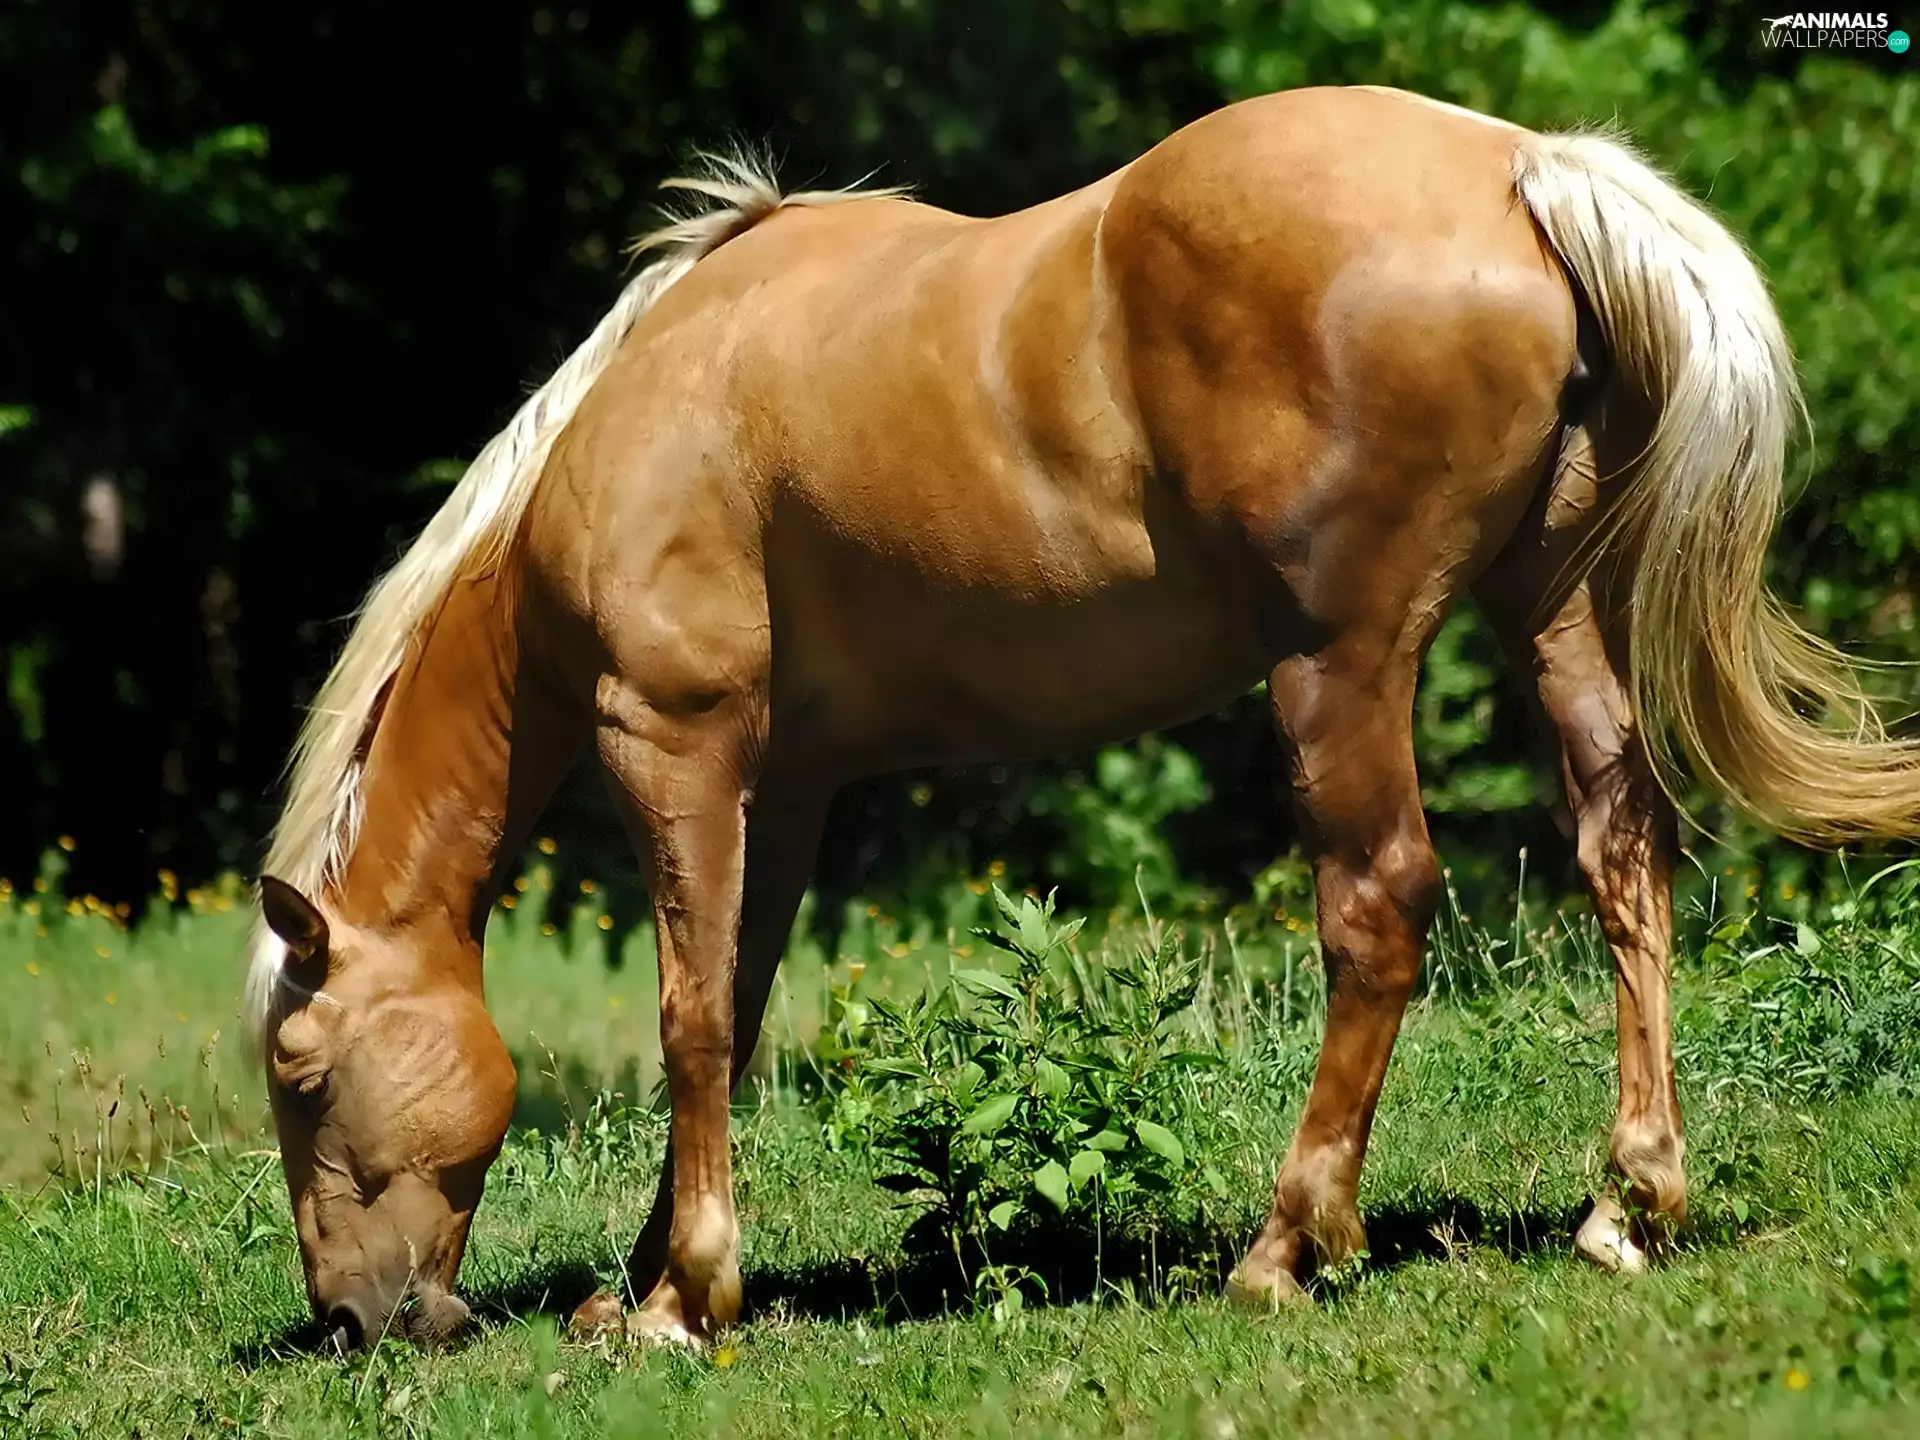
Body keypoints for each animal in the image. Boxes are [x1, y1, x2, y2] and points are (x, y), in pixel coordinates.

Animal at [244, 83, 1920, 1352]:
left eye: (304, 1076)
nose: (355, 1319)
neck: (650, 401)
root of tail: (1518, 171)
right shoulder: (787, 783)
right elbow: (739, 994)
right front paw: (655, 1276)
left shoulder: (679, 741)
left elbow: (690, 1013)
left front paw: (680, 1302)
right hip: (1548, 614)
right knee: (1623, 853)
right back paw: (1629, 1205)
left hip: (1341, 664)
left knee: (1379, 906)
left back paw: (1287, 1247)